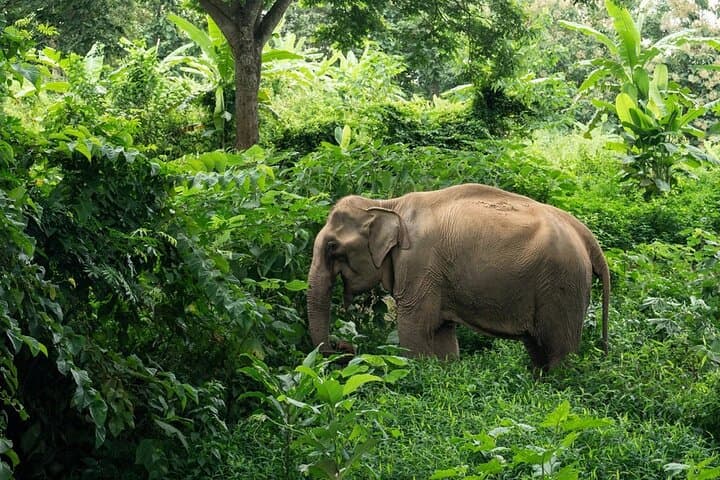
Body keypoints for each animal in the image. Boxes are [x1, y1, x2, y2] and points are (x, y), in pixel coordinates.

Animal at [306, 183, 610, 370]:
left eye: (332, 247)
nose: (343, 346)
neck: (387, 204)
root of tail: (584, 234)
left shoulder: (420, 265)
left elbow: (415, 330)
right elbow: (441, 335)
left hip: (563, 284)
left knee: (559, 349)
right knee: (537, 347)